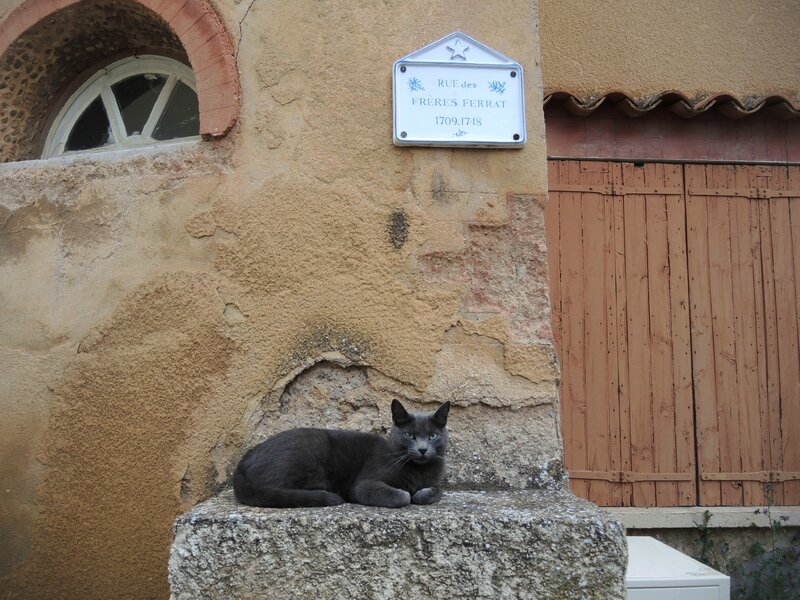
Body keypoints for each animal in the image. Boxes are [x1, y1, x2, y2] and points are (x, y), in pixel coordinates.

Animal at [233, 400, 450, 508]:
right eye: (409, 435)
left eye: (432, 436)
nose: (422, 449)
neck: (418, 471)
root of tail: (242, 464)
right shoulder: (364, 484)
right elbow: (402, 496)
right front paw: (408, 493)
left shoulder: (434, 481)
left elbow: (437, 490)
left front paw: (422, 493)